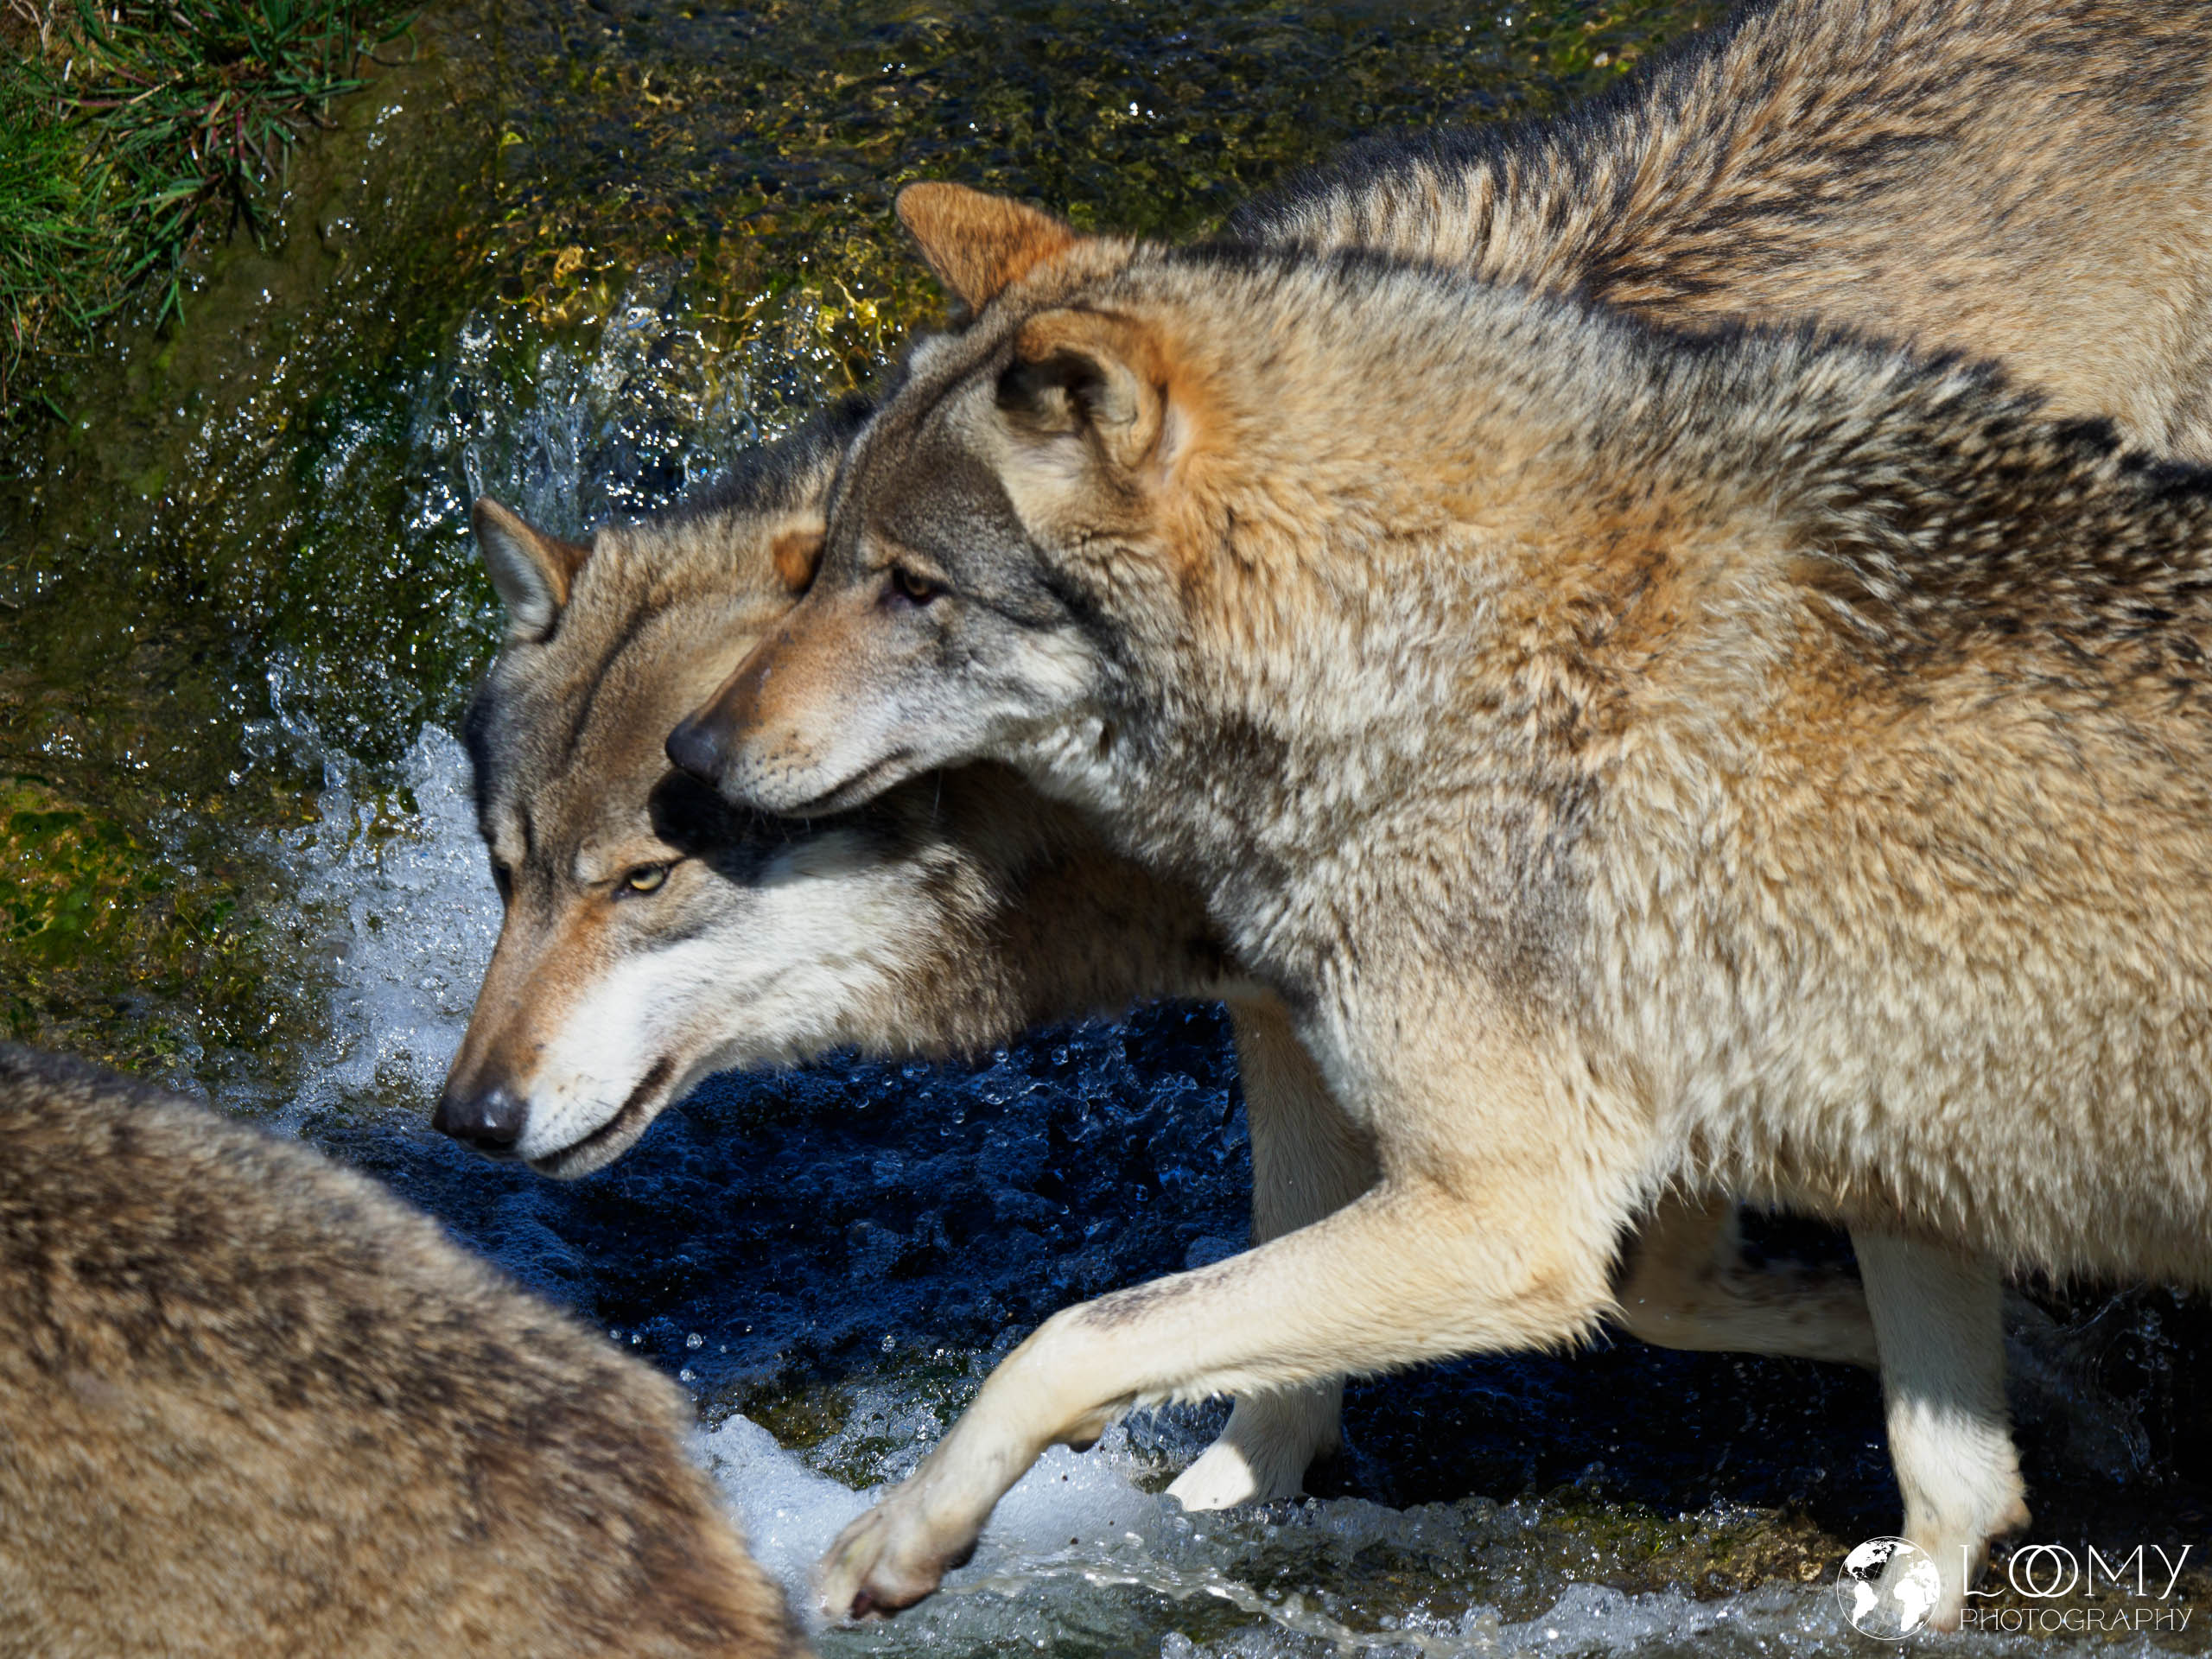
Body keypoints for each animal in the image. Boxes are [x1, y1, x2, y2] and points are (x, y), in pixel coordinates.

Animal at [465, 0, 2212, 1602]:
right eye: (507, 874)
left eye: (646, 880)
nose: (462, 1118)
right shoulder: (1310, 1018)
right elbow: (1318, 1316)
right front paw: (1229, 1489)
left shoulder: (1547, 1132)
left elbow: (1104, 1326)